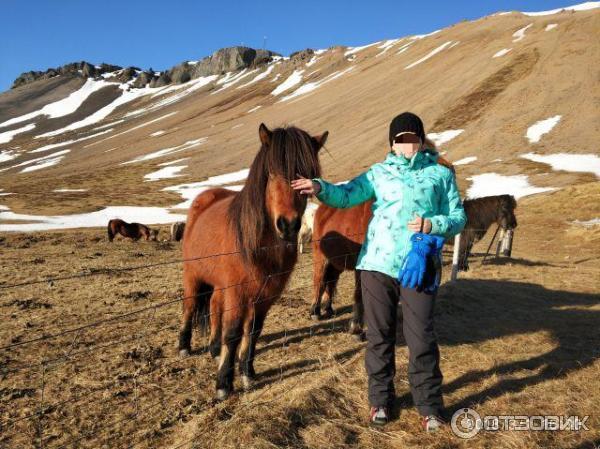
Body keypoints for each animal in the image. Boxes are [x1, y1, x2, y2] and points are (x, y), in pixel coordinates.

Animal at [179, 122, 326, 400]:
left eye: (308, 176)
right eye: (272, 173)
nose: (288, 225)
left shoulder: (265, 295)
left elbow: (254, 330)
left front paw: (247, 372)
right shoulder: (238, 293)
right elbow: (234, 333)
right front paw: (223, 384)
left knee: (213, 306)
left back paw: (214, 348)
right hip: (193, 276)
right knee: (190, 307)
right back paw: (184, 346)